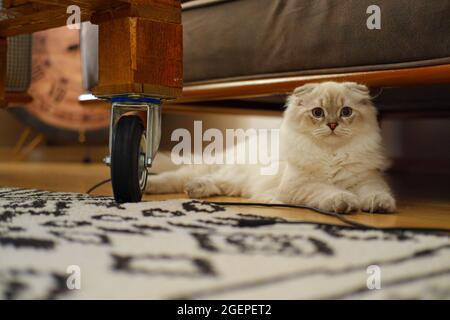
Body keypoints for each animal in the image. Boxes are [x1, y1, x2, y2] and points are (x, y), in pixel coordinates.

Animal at [146, 81, 396, 214]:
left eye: (346, 112)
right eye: (318, 112)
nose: (333, 125)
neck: (331, 155)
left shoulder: (367, 179)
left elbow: (376, 192)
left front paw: (379, 205)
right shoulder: (300, 185)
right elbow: (328, 191)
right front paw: (344, 202)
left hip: (232, 182)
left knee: (215, 183)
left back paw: (195, 189)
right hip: (210, 167)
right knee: (174, 177)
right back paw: (149, 187)